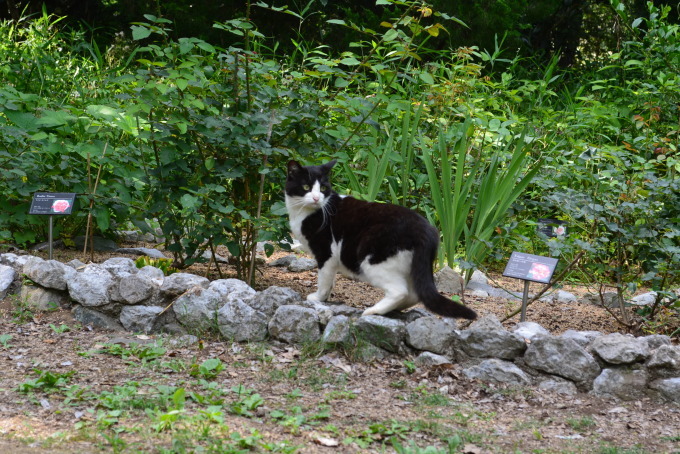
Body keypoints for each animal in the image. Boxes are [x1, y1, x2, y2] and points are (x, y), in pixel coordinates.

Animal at [284, 160, 476, 320]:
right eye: (306, 186)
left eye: (323, 188)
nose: (317, 198)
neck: (304, 213)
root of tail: (426, 229)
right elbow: (331, 280)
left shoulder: (326, 252)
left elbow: (324, 279)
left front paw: (318, 298)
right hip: (409, 264)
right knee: (414, 294)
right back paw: (394, 309)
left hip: (372, 258)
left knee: (400, 291)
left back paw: (373, 311)